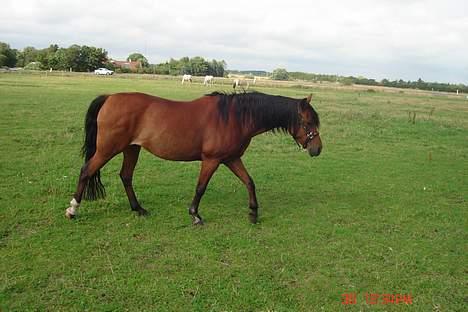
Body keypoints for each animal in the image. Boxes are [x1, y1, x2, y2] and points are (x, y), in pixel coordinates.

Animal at [66, 90, 322, 224]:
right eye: (309, 122)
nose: (318, 149)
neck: (234, 117)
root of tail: (110, 97)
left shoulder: (231, 159)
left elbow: (249, 182)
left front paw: (253, 213)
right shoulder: (211, 160)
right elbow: (201, 187)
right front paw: (195, 215)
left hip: (131, 148)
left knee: (126, 176)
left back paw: (138, 209)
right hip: (108, 149)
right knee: (86, 171)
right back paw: (72, 210)